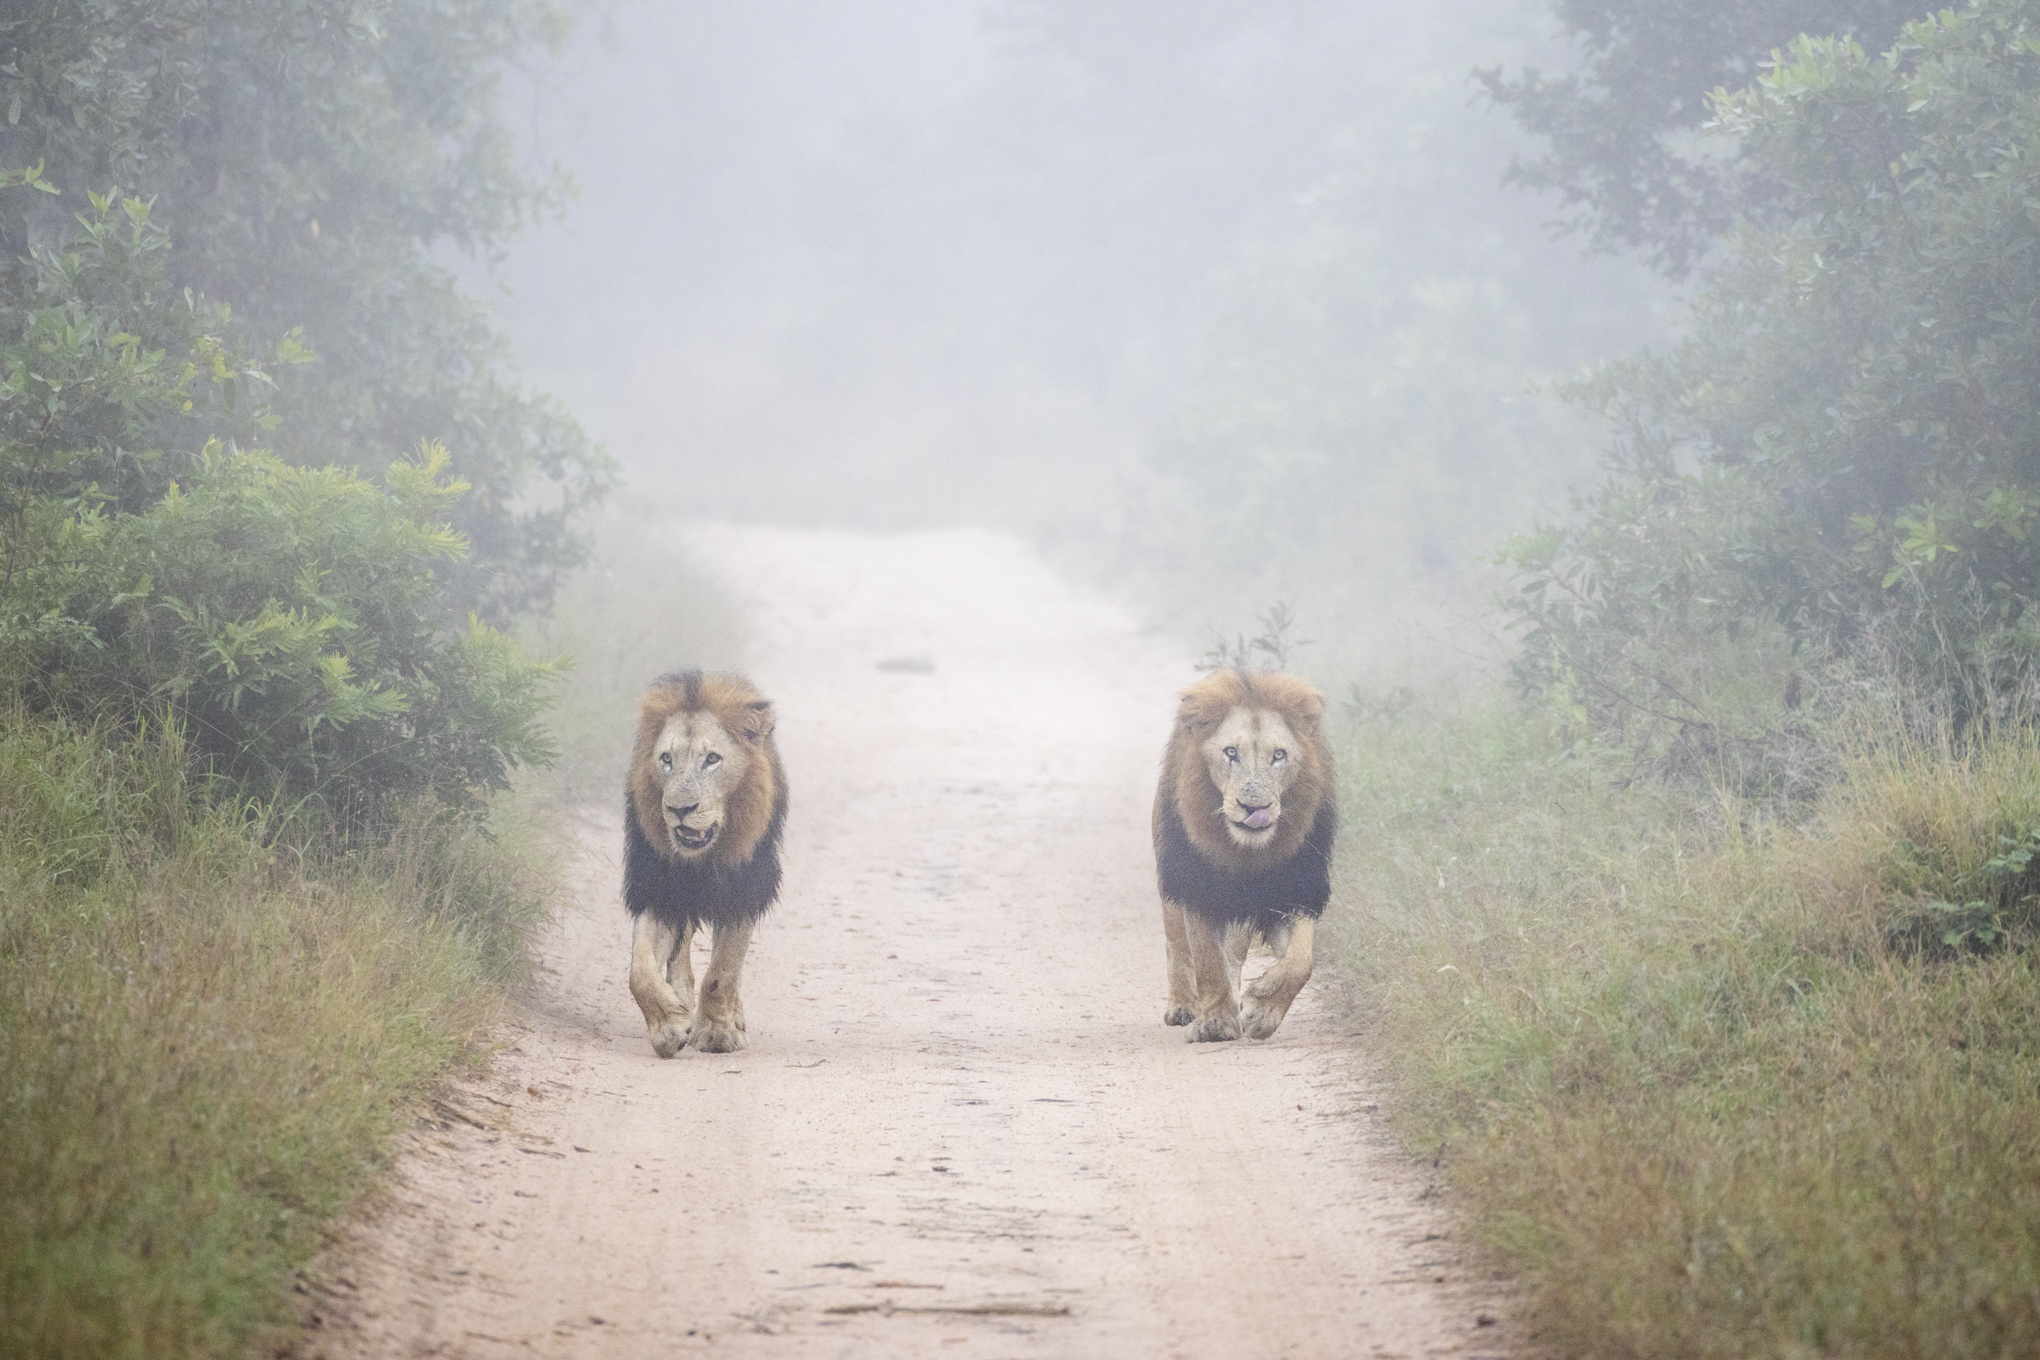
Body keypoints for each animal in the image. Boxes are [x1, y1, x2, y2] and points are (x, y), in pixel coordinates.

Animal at [623, 670, 788, 1057]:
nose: (679, 809)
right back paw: (681, 999)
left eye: (712, 759)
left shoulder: (744, 892)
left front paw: (717, 1033)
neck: (701, 859)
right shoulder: (658, 890)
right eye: (666, 759)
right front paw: (669, 1025)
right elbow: (640, 971)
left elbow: (722, 971)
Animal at [1153, 669, 1336, 1043]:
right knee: (1178, 947)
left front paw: (1260, 1010)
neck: (1247, 856)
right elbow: (1207, 958)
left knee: (1235, 956)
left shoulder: (1295, 892)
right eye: (1231, 752)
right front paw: (1214, 1024)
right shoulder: (1199, 889)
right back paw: (1183, 1007)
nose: (1254, 807)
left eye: (1279, 755)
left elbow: (1301, 962)